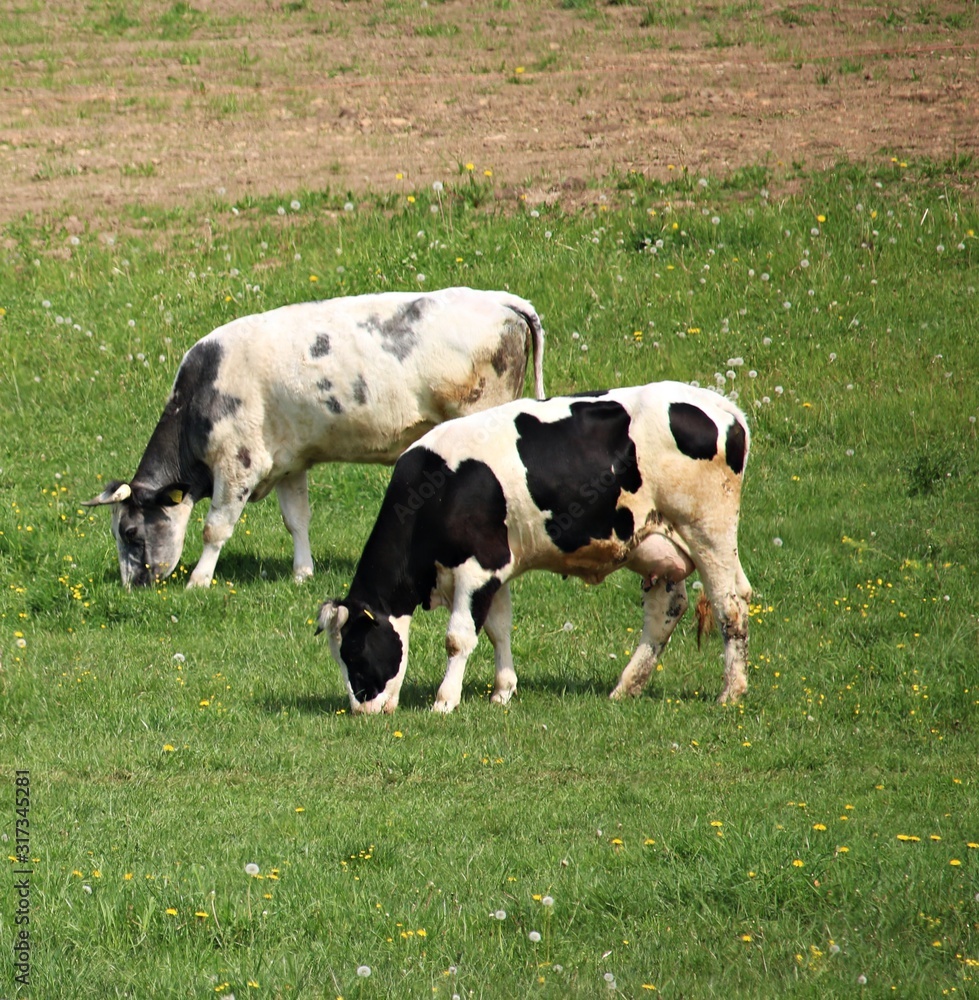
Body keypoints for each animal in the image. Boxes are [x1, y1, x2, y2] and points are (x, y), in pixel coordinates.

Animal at [83, 286, 544, 588]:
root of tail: (500, 299)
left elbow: (215, 528)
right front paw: (302, 573)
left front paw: (199, 581)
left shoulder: (238, 464)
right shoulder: (289, 462)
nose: (131, 585)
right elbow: (297, 520)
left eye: (130, 533)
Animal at [318, 378, 756, 716]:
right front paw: (503, 691)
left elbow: (459, 636)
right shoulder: (497, 570)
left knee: (730, 606)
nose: (361, 710)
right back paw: (626, 687)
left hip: (708, 530)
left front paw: (445, 701)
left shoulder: (478, 567)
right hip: (657, 545)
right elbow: (498, 629)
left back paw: (730, 692)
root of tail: (721, 406)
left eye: (354, 653)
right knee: (666, 612)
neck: (437, 489)